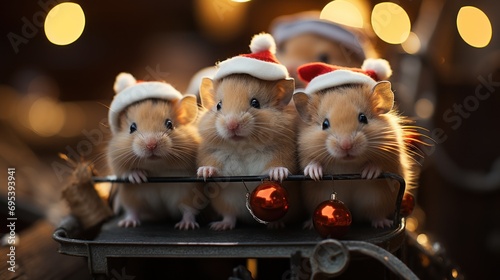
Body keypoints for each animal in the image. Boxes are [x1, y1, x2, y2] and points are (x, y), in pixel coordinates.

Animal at [107, 74, 203, 230]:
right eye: (132, 128)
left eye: (169, 124)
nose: (151, 145)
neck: (157, 167)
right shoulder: (117, 164)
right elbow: (127, 172)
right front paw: (139, 177)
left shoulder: (191, 188)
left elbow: (189, 209)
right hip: (131, 197)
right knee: (133, 210)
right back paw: (127, 223)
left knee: (188, 210)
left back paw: (186, 226)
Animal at [292, 60, 422, 229]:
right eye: (324, 124)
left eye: (363, 118)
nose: (346, 146)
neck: (348, 163)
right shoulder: (304, 152)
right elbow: (310, 163)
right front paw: (315, 174)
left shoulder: (392, 155)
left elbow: (380, 164)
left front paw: (369, 173)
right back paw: (309, 225)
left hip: (377, 201)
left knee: (376, 215)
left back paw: (383, 224)